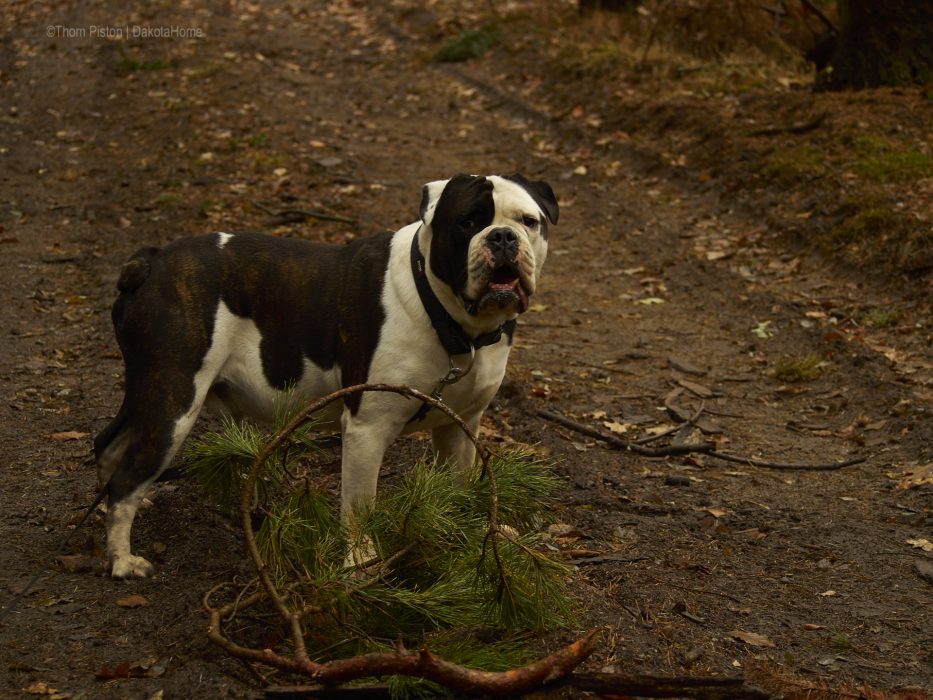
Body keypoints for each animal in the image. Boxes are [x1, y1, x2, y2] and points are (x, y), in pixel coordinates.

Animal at [95, 172, 556, 576]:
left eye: (528, 221)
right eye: (468, 223)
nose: (502, 236)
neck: (452, 320)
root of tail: (150, 262)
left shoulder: (459, 428)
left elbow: (460, 487)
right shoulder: (368, 429)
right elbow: (359, 506)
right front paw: (361, 564)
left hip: (150, 391)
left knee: (109, 446)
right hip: (173, 402)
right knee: (128, 477)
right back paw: (122, 558)